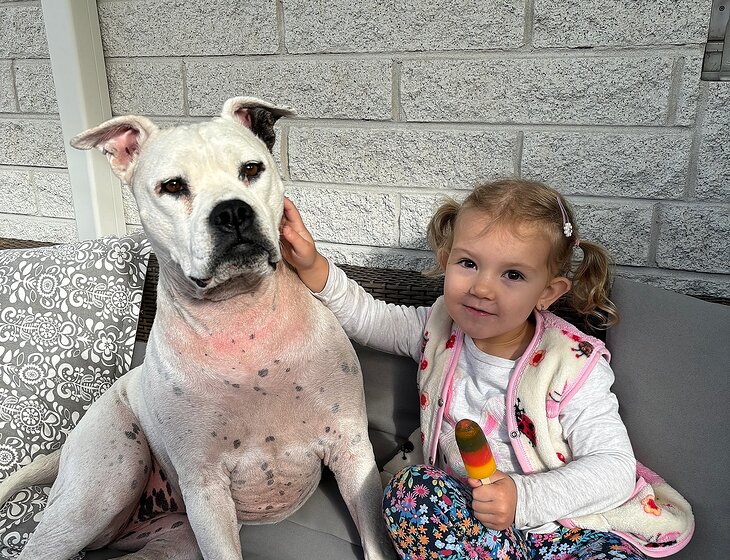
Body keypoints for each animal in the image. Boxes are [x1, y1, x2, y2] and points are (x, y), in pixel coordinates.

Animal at [0, 97, 392, 559]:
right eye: (172, 186)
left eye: (251, 169)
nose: (232, 210)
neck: (242, 322)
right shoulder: (206, 488)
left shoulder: (352, 452)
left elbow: (375, 537)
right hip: (101, 485)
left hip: (173, 542)